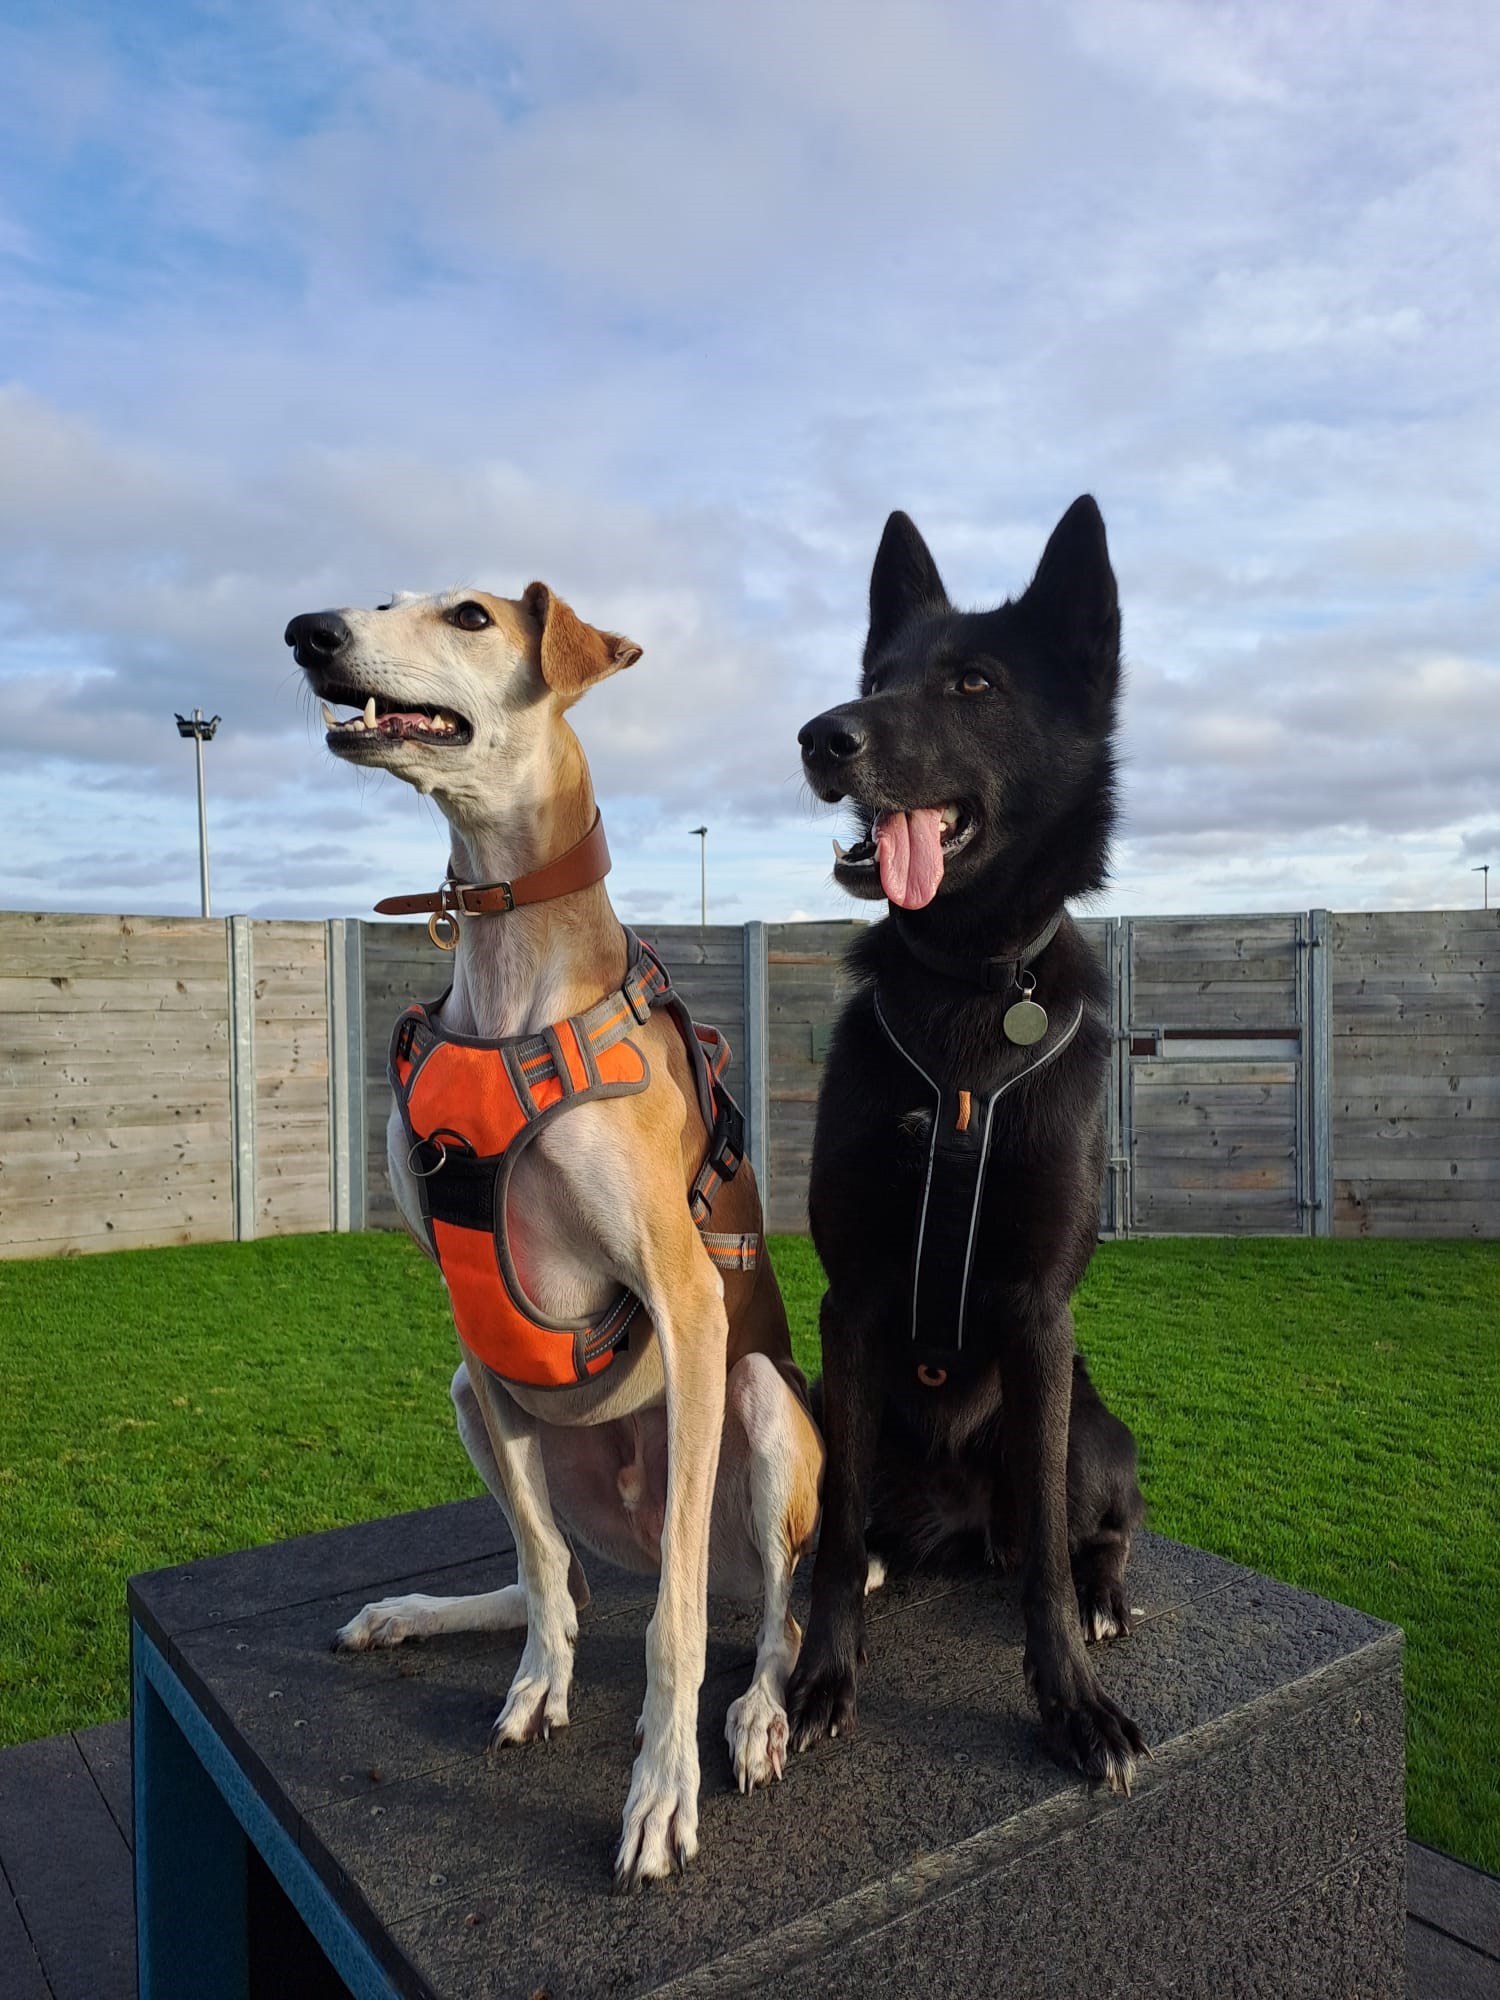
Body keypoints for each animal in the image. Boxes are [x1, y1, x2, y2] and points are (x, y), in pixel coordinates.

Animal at [285, 583, 823, 1886]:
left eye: (471, 615)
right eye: (382, 593)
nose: (308, 630)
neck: (511, 969)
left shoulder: (685, 1297)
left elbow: (675, 1628)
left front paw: (662, 1788)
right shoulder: (470, 1314)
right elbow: (536, 1557)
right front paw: (540, 1680)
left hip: (763, 1407)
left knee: (770, 1617)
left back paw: (754, 1710)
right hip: (470, 1394)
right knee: (573, 1577)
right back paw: (428, 1616)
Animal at [786, 497, 1147, 1792]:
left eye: (973, 683)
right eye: (875, 680)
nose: (821, 736)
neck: (966, 990)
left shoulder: (1041, 1317)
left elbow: (1042, 1543)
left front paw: (1072, 1702)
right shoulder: (848, 1303)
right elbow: (839, 1520)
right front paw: (820, 1675)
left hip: (1091, 1423)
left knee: (1091, 1524)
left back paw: (1102, 1597)